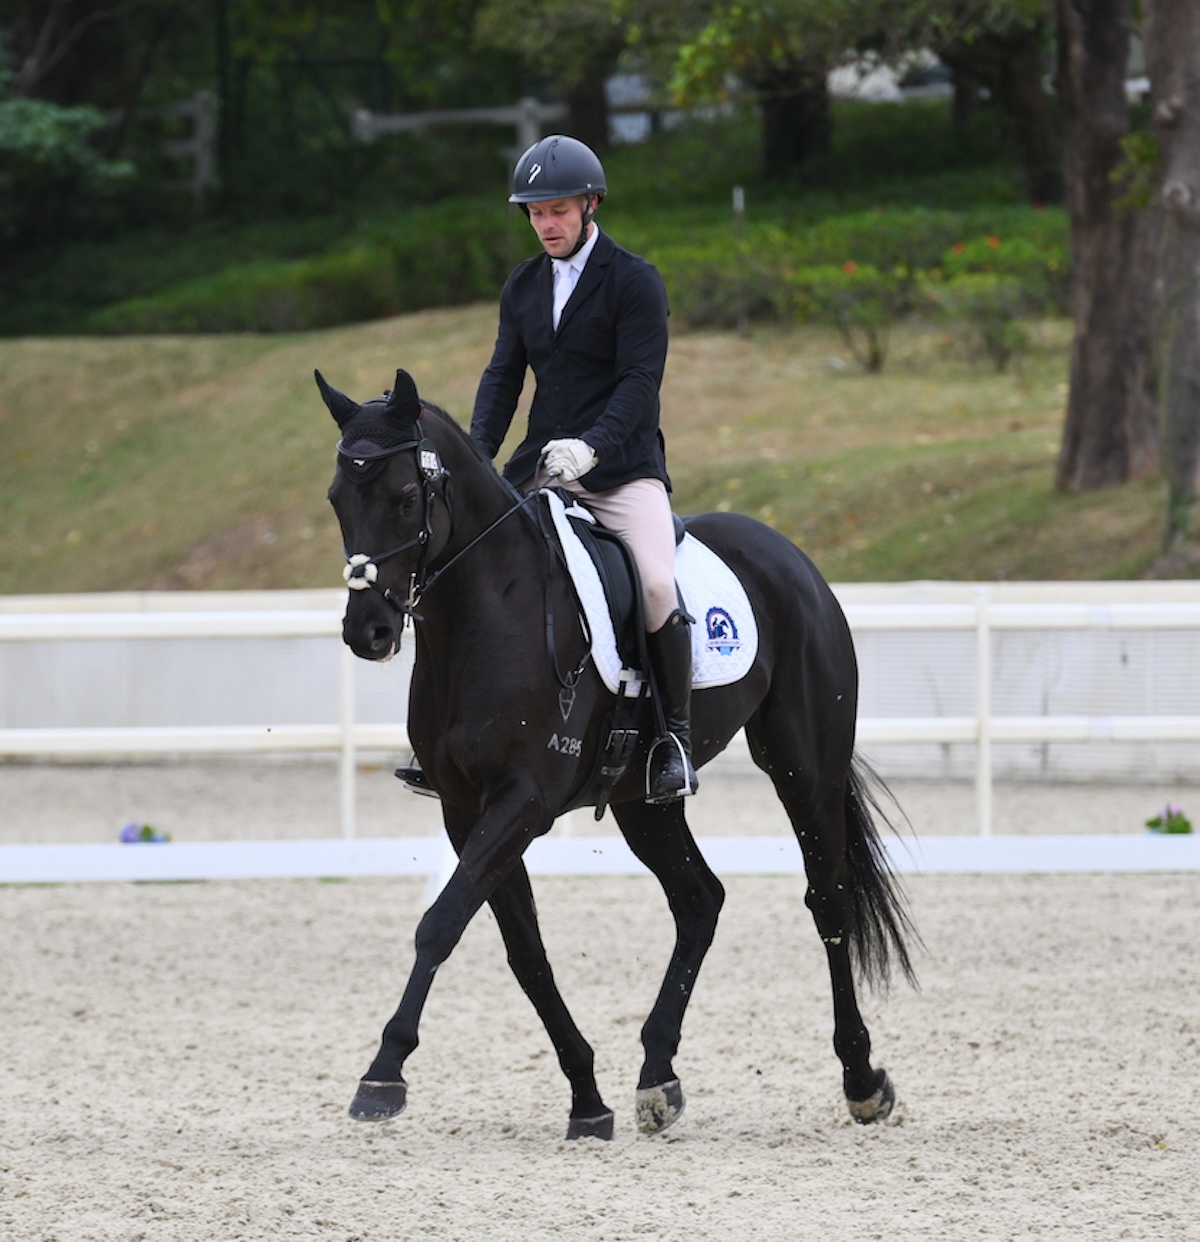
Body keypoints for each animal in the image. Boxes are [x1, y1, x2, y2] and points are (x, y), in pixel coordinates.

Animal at [320, 365, 919, 1137]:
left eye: (402, 496)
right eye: (337, 499)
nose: (367, 631)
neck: (488, 611)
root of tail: (790, 556)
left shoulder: (523, 801)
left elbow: (441, 923)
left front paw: (384, 1073)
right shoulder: (465, 808)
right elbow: (524, 951)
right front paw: (587, 1095)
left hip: (803, 764)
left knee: (828, 900)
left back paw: (861, 1079)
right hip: (645, 800)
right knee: (699, 900)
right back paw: (657, 1076)